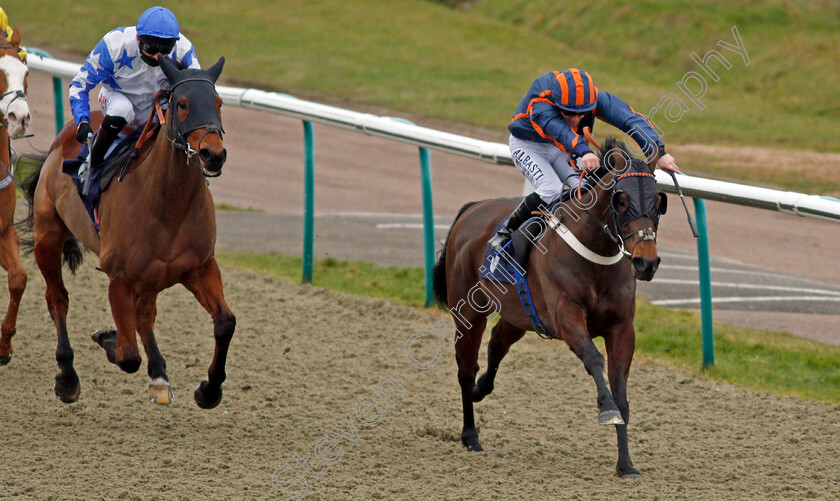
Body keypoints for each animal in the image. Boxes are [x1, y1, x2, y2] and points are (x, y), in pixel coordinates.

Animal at [23, 55, 233, 406]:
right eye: (182, 103)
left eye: (218, 103)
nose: (213, 154)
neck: (168, 203)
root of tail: (60, 139)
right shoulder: (119, 277)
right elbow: (128, 355)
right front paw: (109, 340)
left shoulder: (200, 267)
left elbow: (224, 323)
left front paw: (209, 389)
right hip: (48, 237)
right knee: (58, 299)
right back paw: (67, 377)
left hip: (151, 277)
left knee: (145, 314)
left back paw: (156, 372)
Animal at [436, 137, 668, 476]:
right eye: (621, 201)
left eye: (658, 202)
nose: (646, 263)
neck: (595, 253)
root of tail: (473, 208)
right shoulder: (567, 316)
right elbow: (594, 359)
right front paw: (606, 409)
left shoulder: (621, 327)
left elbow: (621, 392)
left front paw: (626, 465)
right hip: (468, 311)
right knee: (466, 367)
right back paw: (470, 436)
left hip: (518, 315)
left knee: (496, 346)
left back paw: (481, 390)